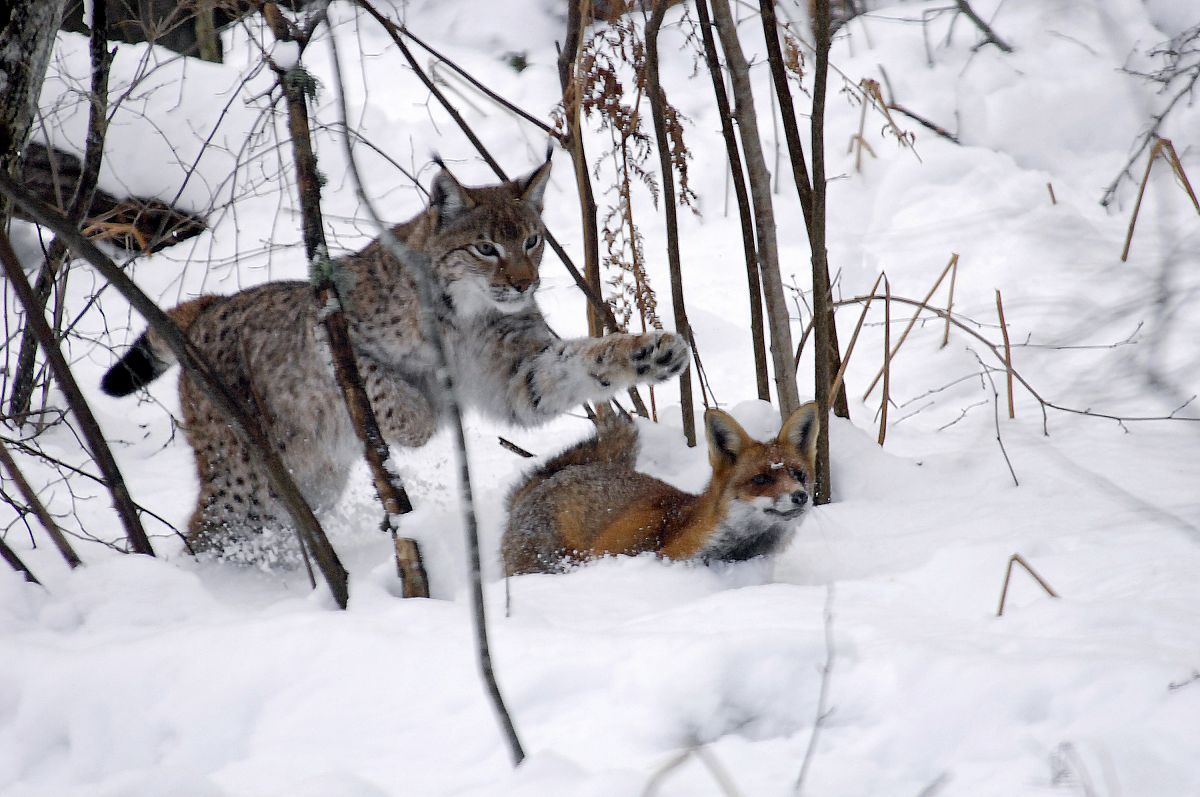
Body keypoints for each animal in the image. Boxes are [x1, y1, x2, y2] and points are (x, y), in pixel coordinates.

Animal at [100, 157, 691, 563]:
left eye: (532, 240)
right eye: (486, 249)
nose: (525, 284)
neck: (467, 312)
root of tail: (215, 302)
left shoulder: (518, 378)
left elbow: (581, 363)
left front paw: (647, 352)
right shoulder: (326, 326)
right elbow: (390, 389)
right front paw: (413, 423)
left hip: (306, 479)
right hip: (245, 476)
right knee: (207, 531)